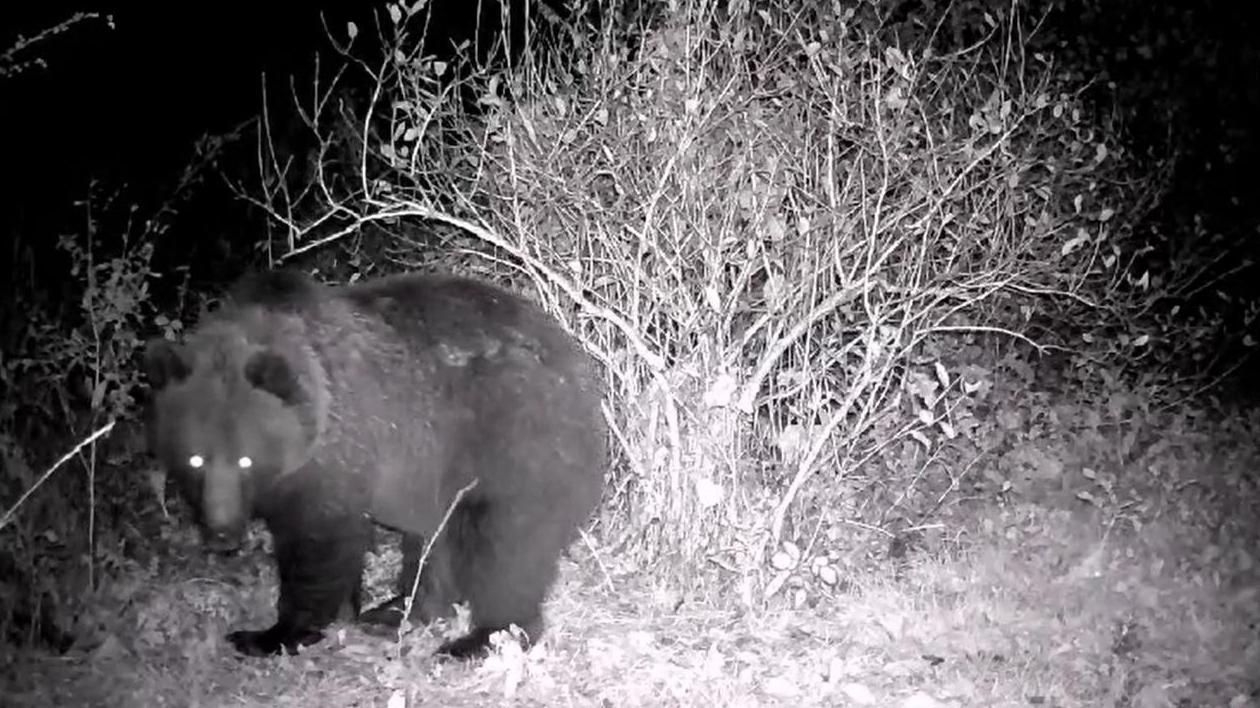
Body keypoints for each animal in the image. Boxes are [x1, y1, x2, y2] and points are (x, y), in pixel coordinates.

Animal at [143, 268, 604, 655]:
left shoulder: (340, 450)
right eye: (195, 459)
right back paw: (397, 611)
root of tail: (580, 371)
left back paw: (479, 637)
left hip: (512, 447)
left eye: (245, 458)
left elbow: (319, 542)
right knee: (435, 543)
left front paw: (271, 633)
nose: (222, 534)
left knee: (504, 547)